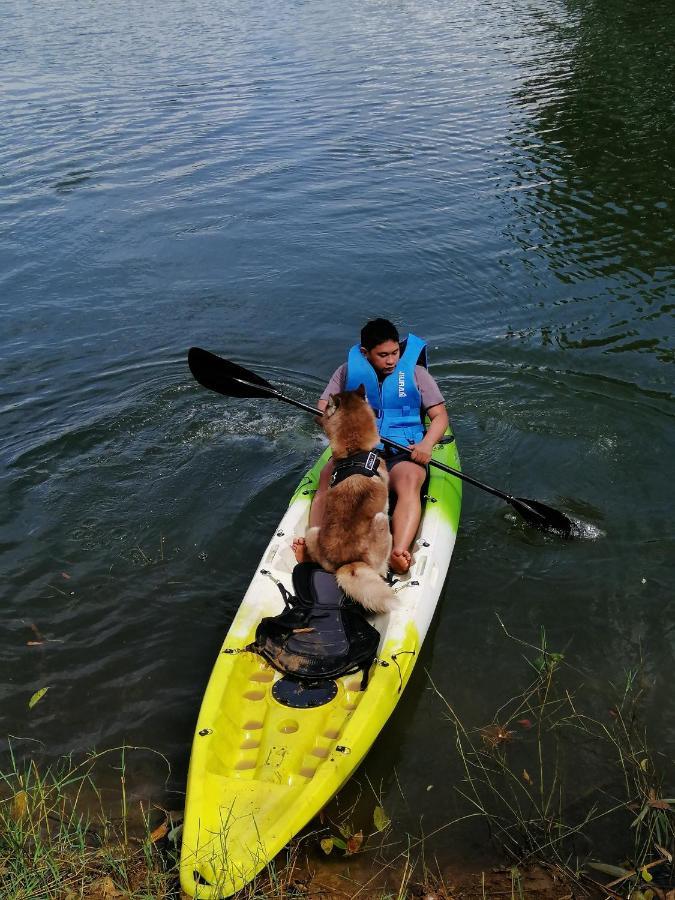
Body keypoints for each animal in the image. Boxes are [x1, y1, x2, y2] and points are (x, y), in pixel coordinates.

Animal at [304, 384, 394, 616]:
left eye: (324, 409)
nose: (315, 417)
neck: (355, 451)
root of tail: (348, 564)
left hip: (313, 532)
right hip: (381, 521)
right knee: (382, 569)